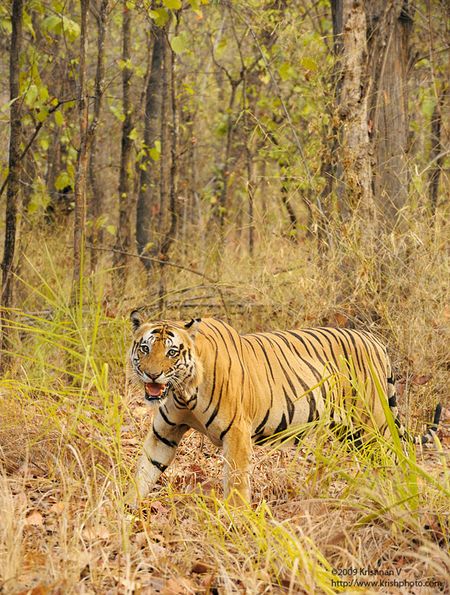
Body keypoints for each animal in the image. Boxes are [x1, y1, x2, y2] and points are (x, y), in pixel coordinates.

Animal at [125, 312, 442, 508]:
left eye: (172, 352)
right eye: (145, 348)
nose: (152, 375)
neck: (183, 391)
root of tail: (375, 340)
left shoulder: (237, 433)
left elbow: (237, 483)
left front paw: (235, 520)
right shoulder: (164, 432)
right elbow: (144, 471)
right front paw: (126, 509)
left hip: (373, 423)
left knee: (397, 457)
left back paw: (403, 497)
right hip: (351, 432)